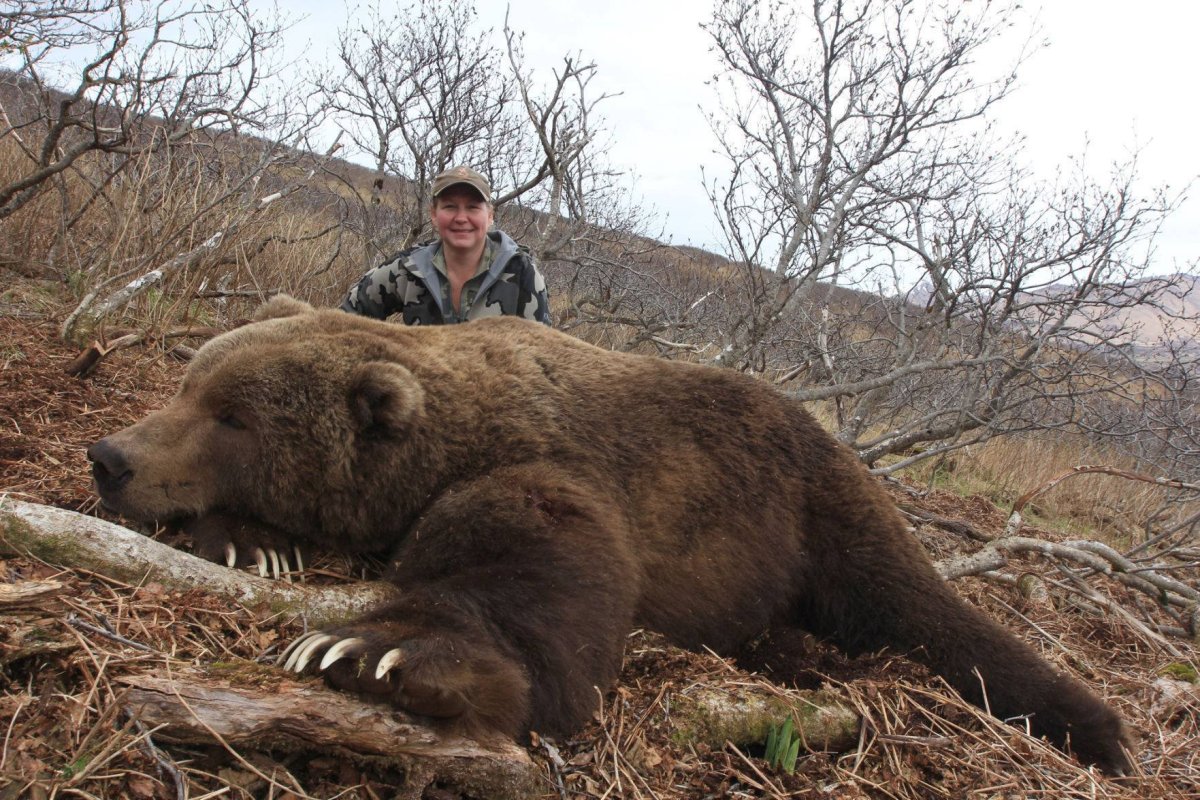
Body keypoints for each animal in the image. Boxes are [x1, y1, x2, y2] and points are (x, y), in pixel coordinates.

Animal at [87, 295, 1131, 774]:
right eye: (190, 382)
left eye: (233, 417)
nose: (110, 455)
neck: (443, 429)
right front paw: (249, 539)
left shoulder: (554, 467)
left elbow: (538, 575)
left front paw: (378, 651)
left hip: (818, 506)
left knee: (923, 609)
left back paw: (1097, 730)